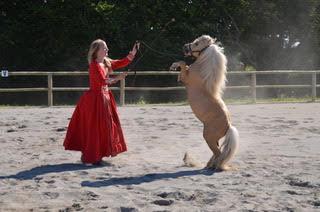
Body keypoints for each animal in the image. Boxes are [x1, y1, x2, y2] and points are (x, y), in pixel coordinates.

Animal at [171, 34, 239, 171]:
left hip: (208, 137)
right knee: (216, 152)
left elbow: (183, 63)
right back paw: (208, 165)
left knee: (218, 153)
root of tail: (229, 126)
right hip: (213, 139)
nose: (184, 46)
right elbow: (184, 64)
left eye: (197, 43)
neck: (201, 71)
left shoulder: (186, 78)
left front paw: (174, 66)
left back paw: (215, 166)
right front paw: (173, 66)